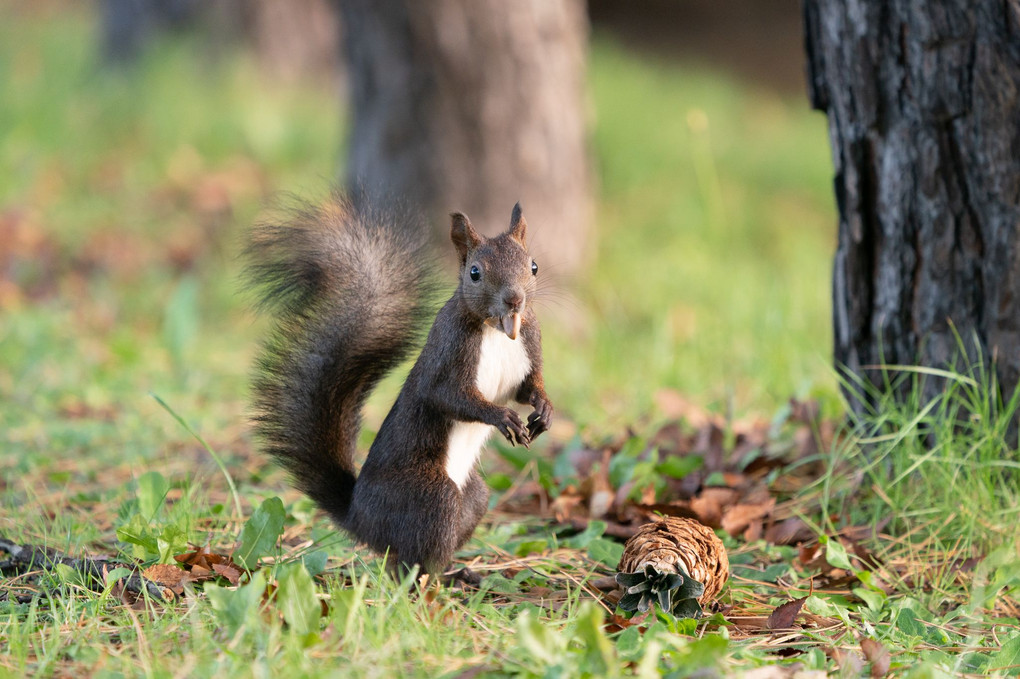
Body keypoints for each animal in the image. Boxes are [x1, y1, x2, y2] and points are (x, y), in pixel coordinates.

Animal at [243, 192, 554, 575]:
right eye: (475, 273)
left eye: (533, 266)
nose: (514, 300)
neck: (496, 330)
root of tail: (358, 518)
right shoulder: (447, 351)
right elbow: (445, 395)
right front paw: (502, 417)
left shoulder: (529, 342)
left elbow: (528, 388)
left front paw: (544, 409)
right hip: (431, 496)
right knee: (409, 562)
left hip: (472, 498)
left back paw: (458, 572)